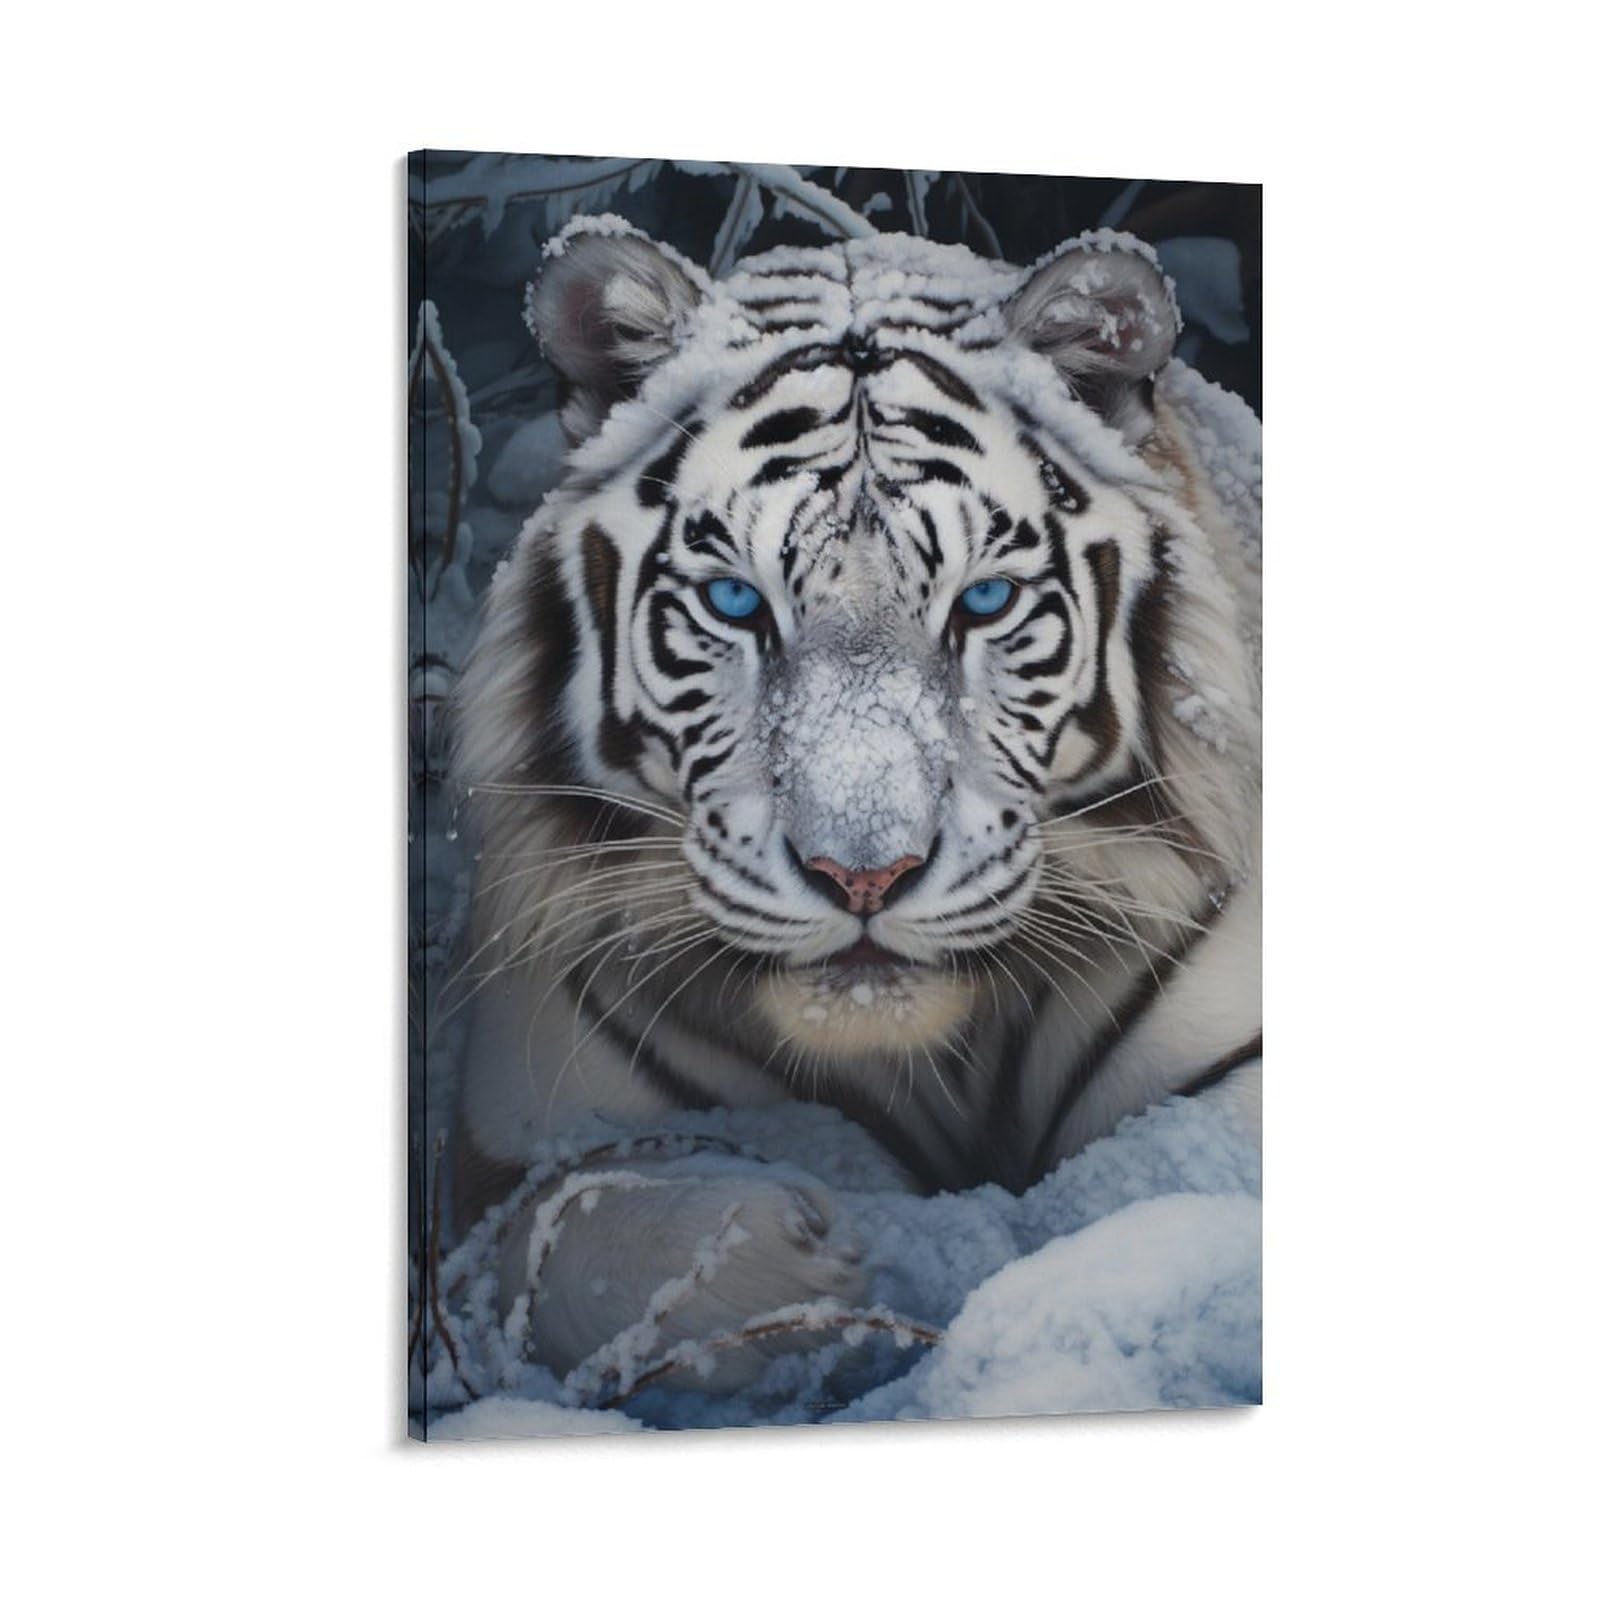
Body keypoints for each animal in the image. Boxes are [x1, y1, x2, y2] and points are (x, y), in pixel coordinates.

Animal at [449, 214, 1261, 1388]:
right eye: (735, 600)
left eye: (984, 600)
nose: (863, 875)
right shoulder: (512, 1146)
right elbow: (576, 1237)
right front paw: (829, 1247)